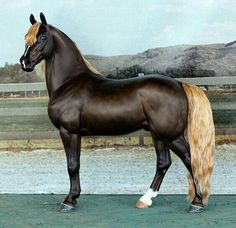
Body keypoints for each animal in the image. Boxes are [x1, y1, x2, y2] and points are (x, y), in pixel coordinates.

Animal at [19, 13, 216, 214]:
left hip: (171, 135)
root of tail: (179, 84)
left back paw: (197, 202)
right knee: (163, 163)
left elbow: (72, 165)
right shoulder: (75, 133)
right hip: (159, 135)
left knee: (191, 159)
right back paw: (145, 199)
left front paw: (69, 201)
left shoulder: (69, 132)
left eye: (42, 37)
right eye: (26, 37)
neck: (69, 82)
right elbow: (75, 164)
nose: (25, 62)